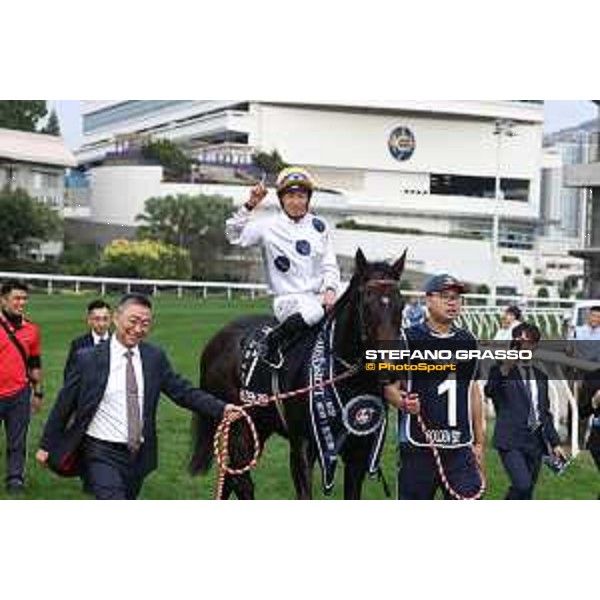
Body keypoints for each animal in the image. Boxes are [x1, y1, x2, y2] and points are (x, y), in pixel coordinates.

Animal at [192, 246, 408, 500]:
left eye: (401, 304)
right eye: (366, 303)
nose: (391, 368)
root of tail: (216, 341)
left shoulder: (359, 452)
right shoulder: (302, 448)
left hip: (259, 425)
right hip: (237, 425)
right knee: (241, 481)